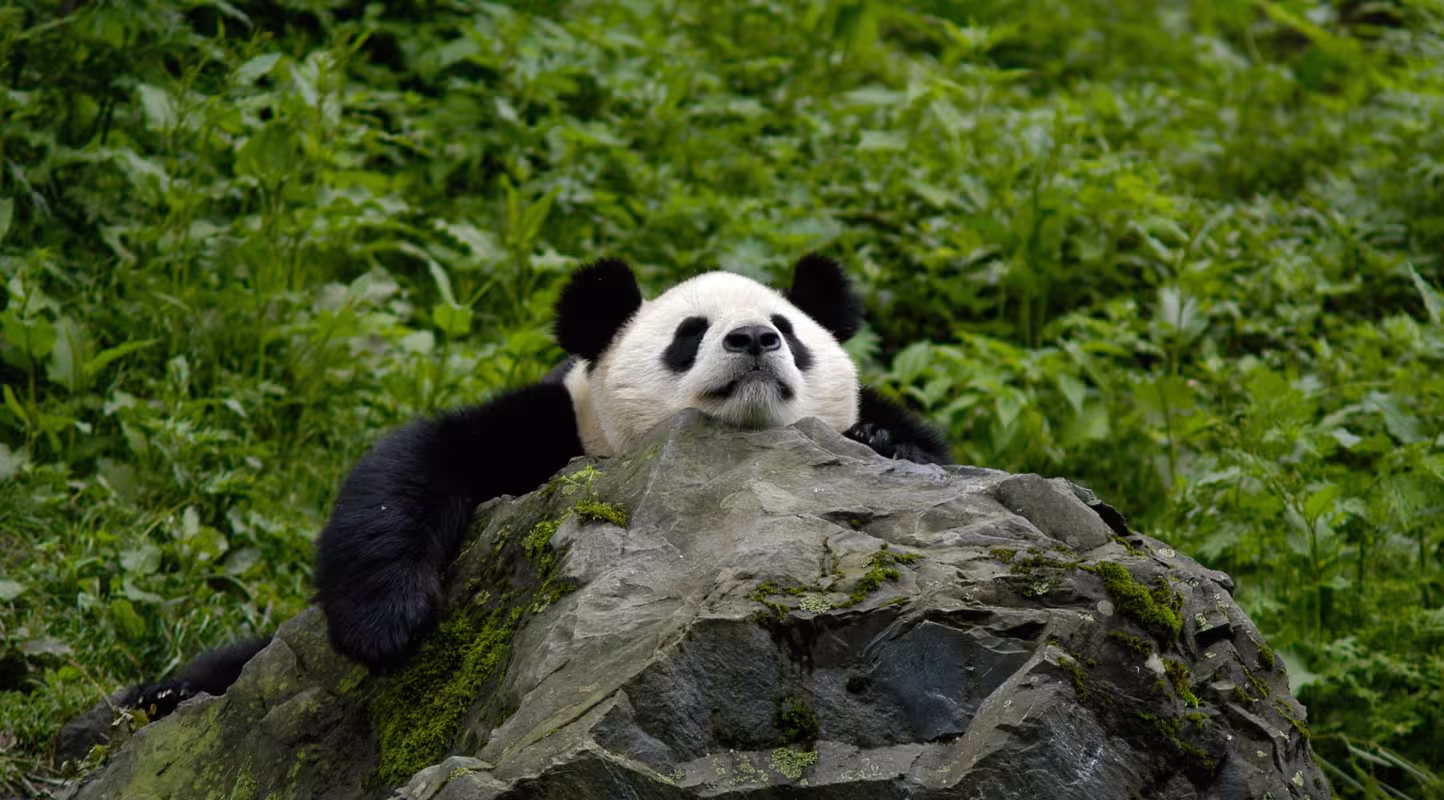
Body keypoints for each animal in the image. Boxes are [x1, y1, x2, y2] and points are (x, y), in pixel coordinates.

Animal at [120, 254, 950, 715]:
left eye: (791, 330)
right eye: (689, 336)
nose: (753, 340)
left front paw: (885, 444)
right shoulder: (561, 429)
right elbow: (416, 463)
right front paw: (388, 622)